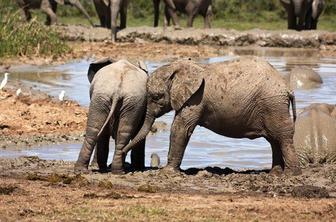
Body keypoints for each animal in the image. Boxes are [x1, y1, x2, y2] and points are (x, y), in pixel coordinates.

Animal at [123, 56, 302, 175]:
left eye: (156, 97)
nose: (122, 158)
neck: (179, 68)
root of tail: (287, 88)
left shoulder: (195, 99)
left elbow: (181, 128)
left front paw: (167, 173)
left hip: (273, 104)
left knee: (282, 136)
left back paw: (290, 175)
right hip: (271, 106)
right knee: (274, 139)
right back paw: (275, 174)